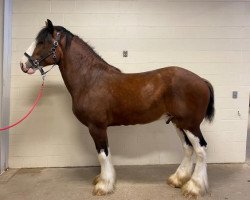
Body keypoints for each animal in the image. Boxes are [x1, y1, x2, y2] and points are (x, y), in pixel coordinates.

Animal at [20, 19, 215, 198]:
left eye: (42, 42)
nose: (23, 64)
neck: (90, 80)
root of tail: (202, 80)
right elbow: (105, 154)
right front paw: (103, 180)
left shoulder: (97, 127)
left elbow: (102, 155)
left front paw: (103, 186)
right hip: (178, 123)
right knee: (188, 148)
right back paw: (178, 179)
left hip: (190, 124)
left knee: (200, 150)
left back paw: (194, 187)